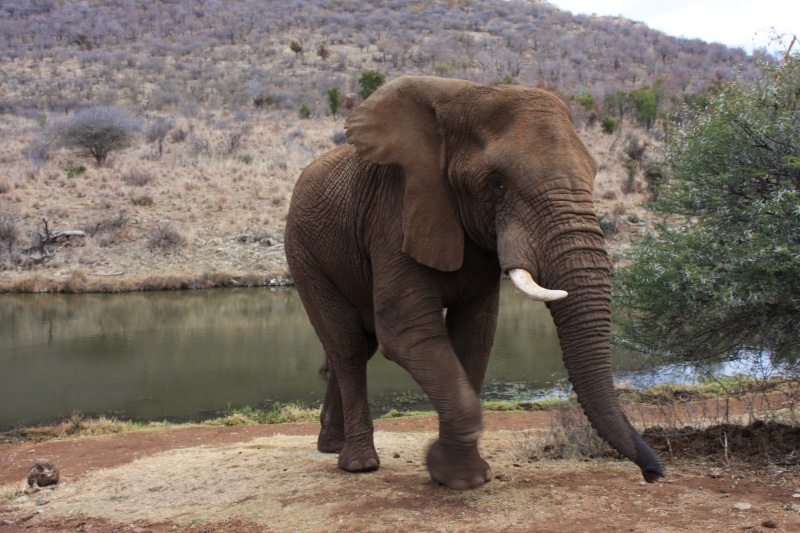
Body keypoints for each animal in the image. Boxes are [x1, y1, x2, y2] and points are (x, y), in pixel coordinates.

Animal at [284, 75, 665, 489]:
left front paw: (465, 476)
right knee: (349, 345)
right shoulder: (395, 209)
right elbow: (407, 332)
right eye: (496, 183)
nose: (653, 474)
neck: (465, 95)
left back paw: (331, 447)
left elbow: (474, 335)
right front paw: (451, 473)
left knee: (357, 345)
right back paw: (359, 464)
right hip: (303, 252)